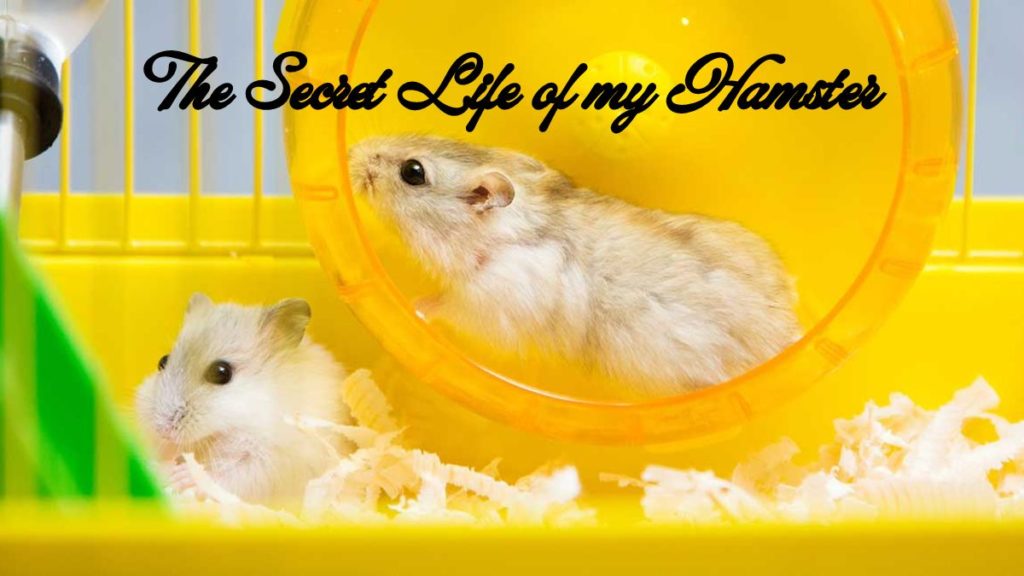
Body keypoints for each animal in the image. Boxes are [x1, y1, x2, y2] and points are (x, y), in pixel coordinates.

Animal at [134, 293, 348, 506]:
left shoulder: (270, 463)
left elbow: (230, 478)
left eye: (221, 373)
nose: (163, 430)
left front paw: (185, 477)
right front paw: (166, 469)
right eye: (163, 361)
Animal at [348, 135, 801, 396]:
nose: (352, 153)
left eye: (413, 172)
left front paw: (416, 307)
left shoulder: (493, 303)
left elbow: (446, 304)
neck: (502, 234)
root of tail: (792, 335)